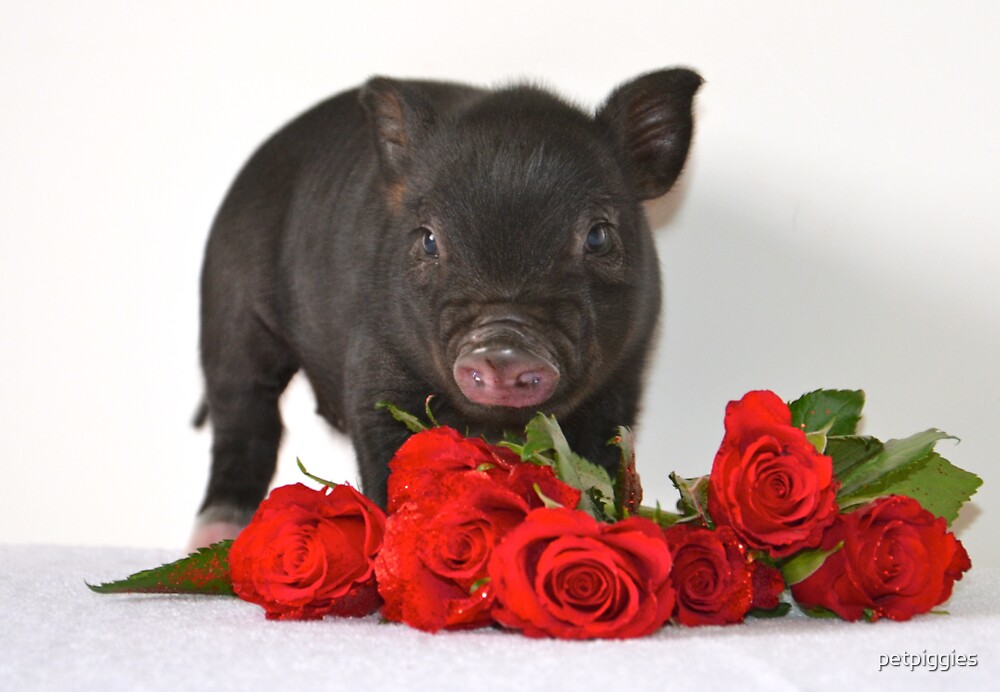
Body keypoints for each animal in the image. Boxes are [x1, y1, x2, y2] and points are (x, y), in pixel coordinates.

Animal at [190, 68, 701, 548]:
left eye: (597, 236)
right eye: (429, 240)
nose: (503, 345)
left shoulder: (625, 376)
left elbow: (598, 460)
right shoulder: (375, 361)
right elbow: (389, 462)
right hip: (229, 310)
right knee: (244, 418)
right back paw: (214, 537)